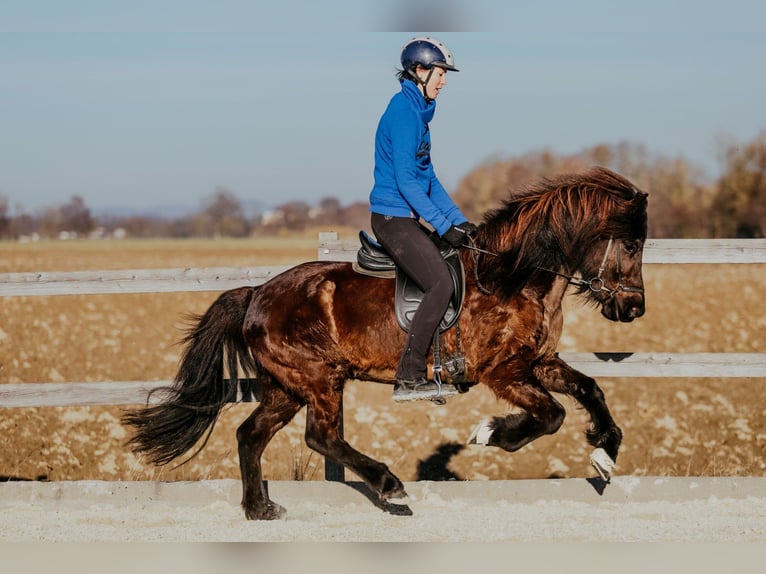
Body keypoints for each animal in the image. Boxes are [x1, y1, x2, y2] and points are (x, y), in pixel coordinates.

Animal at [122, 166, 648, 520]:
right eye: (631, 245)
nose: (634, 309)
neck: (512, 277)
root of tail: (256, 294)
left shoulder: (539, 361)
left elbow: (590, 390)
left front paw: (604, 455)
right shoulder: (503, 372)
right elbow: (552, 415)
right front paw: (491, 433)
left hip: (285, 387)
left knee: (251, 435)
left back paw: (260, 509)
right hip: (320, 378)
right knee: (321, 436)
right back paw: (389, 485)